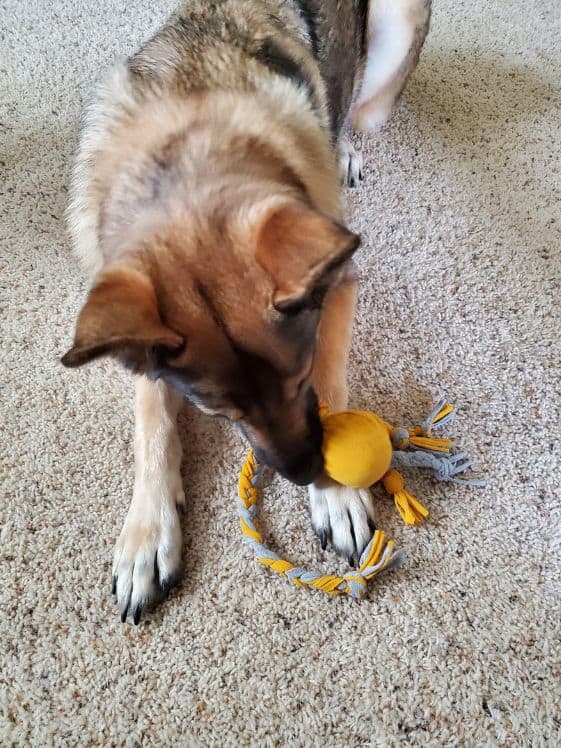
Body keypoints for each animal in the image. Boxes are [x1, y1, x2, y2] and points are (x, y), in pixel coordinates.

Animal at [60, 0, 428, 624]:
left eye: (301, 377)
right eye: (216, 411)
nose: (305, 472)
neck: (190, 144)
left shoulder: (338, 284)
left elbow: (333, 384)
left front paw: (337, 495)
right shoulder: (139, 335)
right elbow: (152, 424)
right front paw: (147, 529)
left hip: (395, 35)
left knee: (357, 109)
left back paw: (346, 147)